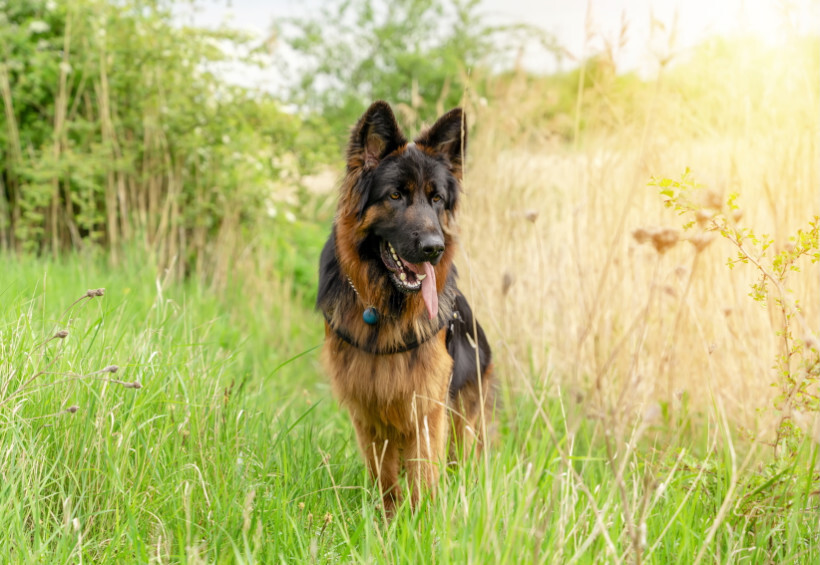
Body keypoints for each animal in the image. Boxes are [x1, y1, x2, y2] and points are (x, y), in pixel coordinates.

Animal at [316, 100, 494, 512]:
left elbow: (423, 476)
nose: (434, 248)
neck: (386, 309)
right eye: (395, 196)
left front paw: (420, 521)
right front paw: (387, 518)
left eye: (436, 199)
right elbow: (384, 475)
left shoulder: (427, 406)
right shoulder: (367, 407)